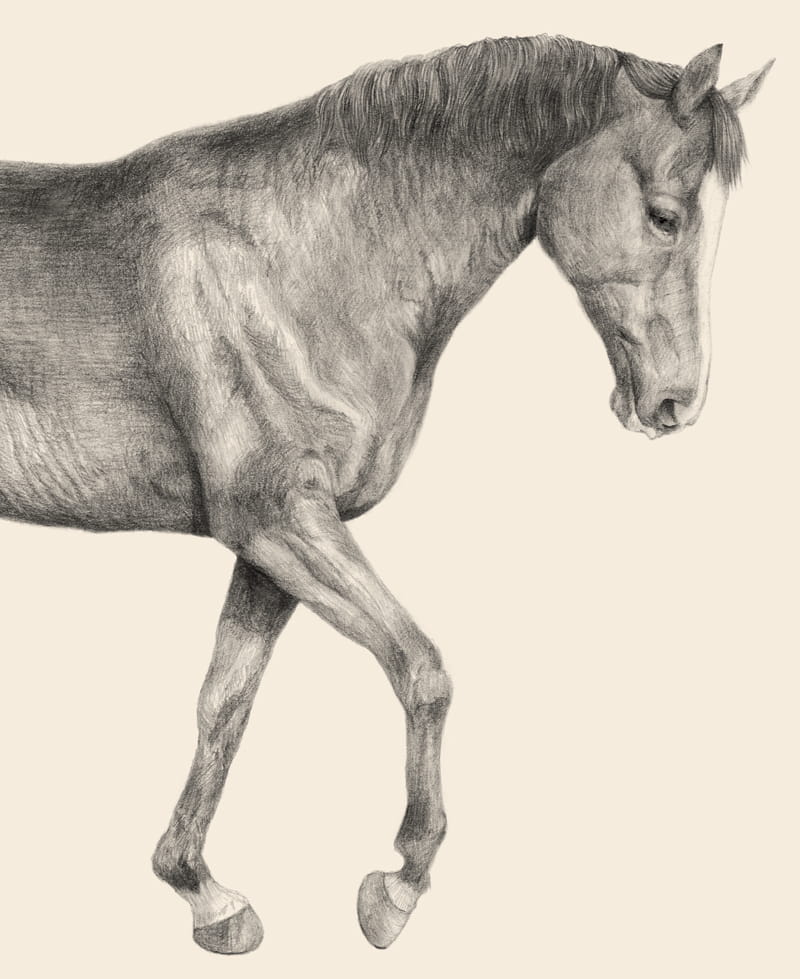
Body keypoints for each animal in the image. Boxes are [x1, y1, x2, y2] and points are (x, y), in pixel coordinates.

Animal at [0, 34, 771, 953]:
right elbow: (422, 669)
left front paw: (202, 889)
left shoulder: (273, 548)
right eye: (664, 216)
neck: (299, 258)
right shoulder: (280, 520)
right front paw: (398, 883)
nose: (675, 403)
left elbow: (224, 703)